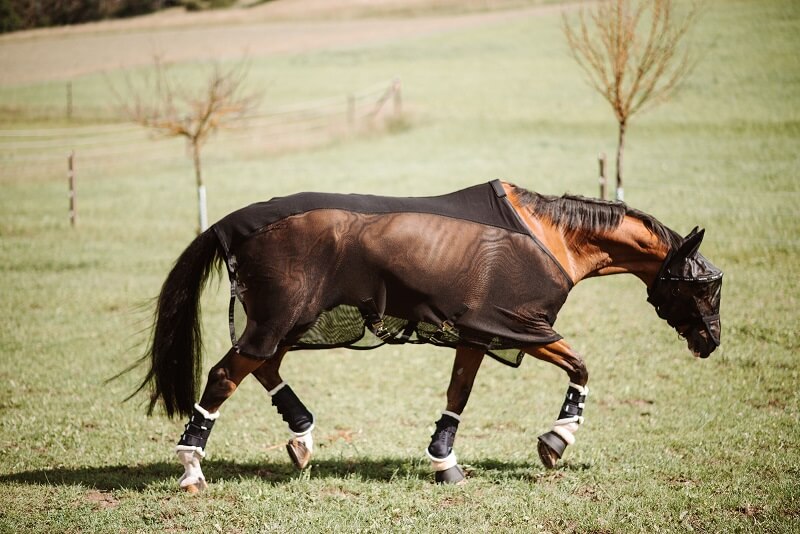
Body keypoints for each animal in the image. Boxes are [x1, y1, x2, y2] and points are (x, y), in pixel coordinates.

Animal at [134, 181, 720, 494]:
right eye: (705, 286)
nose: (710, 341)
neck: (553, 239)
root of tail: (230, 223)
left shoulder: (476, 334)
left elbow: (458, 394)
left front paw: (445, 462)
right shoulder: (520, 327)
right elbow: (580, 366)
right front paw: (556, 440)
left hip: (285, 321)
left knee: (264, 367)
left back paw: (301, 439)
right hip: (277, 319)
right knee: (226, 374)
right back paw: (191, 468)